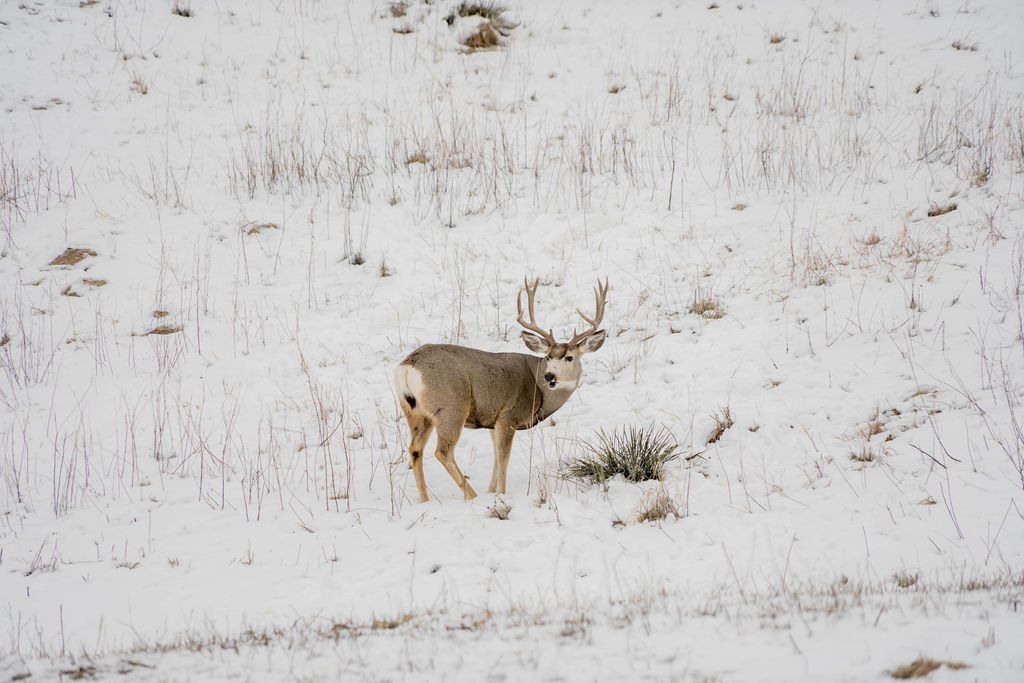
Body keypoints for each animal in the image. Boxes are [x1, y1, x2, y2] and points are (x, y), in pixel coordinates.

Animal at [394, 278, 609, 502]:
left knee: (415, 449)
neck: (538, 389)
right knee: (443, 452)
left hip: (415, 412)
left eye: (569, 357)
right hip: (451, 407)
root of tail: (407, 367)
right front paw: (501, 494)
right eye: (548, 356)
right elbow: (504, 458)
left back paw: (425, 500)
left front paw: (491, 491)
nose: (550, 376)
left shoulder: (493, 420)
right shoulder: (509, 414)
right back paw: (472, 495)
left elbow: (497, 458)